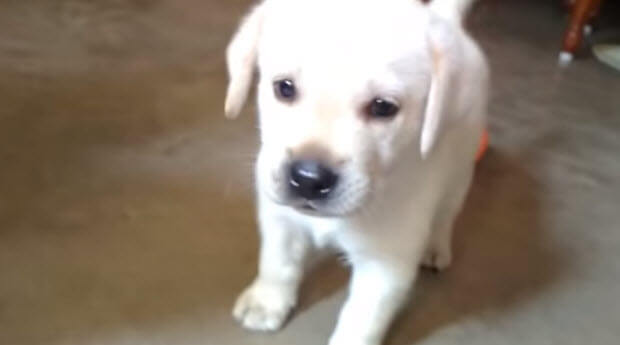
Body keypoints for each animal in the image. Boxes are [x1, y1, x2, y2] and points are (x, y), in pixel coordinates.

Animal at [224, 0, 490, 344]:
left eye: (383, 107)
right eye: (284, 88)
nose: (308, 180)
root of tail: (447, 21)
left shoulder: (386, 264)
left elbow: (361, 320)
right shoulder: (281, 220)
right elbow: (277, 263)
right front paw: (267, 302)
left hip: (459, 170)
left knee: (446, 214)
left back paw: (435, 247)